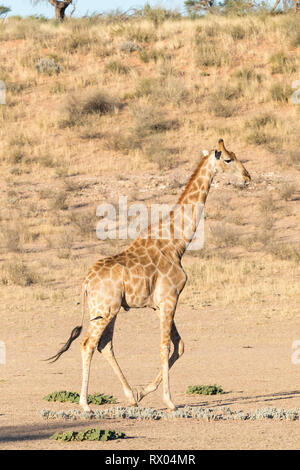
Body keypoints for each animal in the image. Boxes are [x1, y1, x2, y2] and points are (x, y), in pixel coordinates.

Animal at [47, 139, 251, 412]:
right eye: (228, 159)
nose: (247, 176)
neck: (177, 243)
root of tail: (86, 281)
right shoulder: (169, 299)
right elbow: (165, 346)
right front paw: (169, 401)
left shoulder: (161, 303)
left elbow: (179, 346)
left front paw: (143, 392)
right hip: (105, 309)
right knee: (88, 344)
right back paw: (85, 404)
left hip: (106, 310)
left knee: (105, 345)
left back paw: (130, 395)